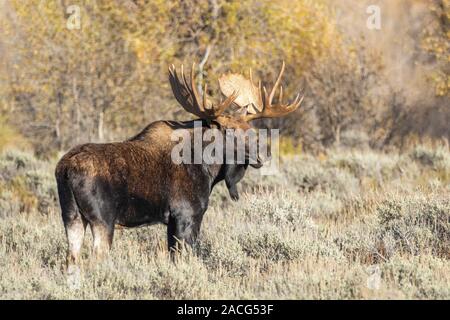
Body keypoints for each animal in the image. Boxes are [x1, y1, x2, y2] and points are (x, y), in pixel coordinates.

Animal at [55, 60, 302, 270]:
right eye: (231, 132)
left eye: (251, 129)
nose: (263, 155)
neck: (208, 169)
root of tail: (65, 170)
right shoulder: (187, 214)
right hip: (102, 219)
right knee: (94, 259)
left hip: (72, 216)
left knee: (72, 260)